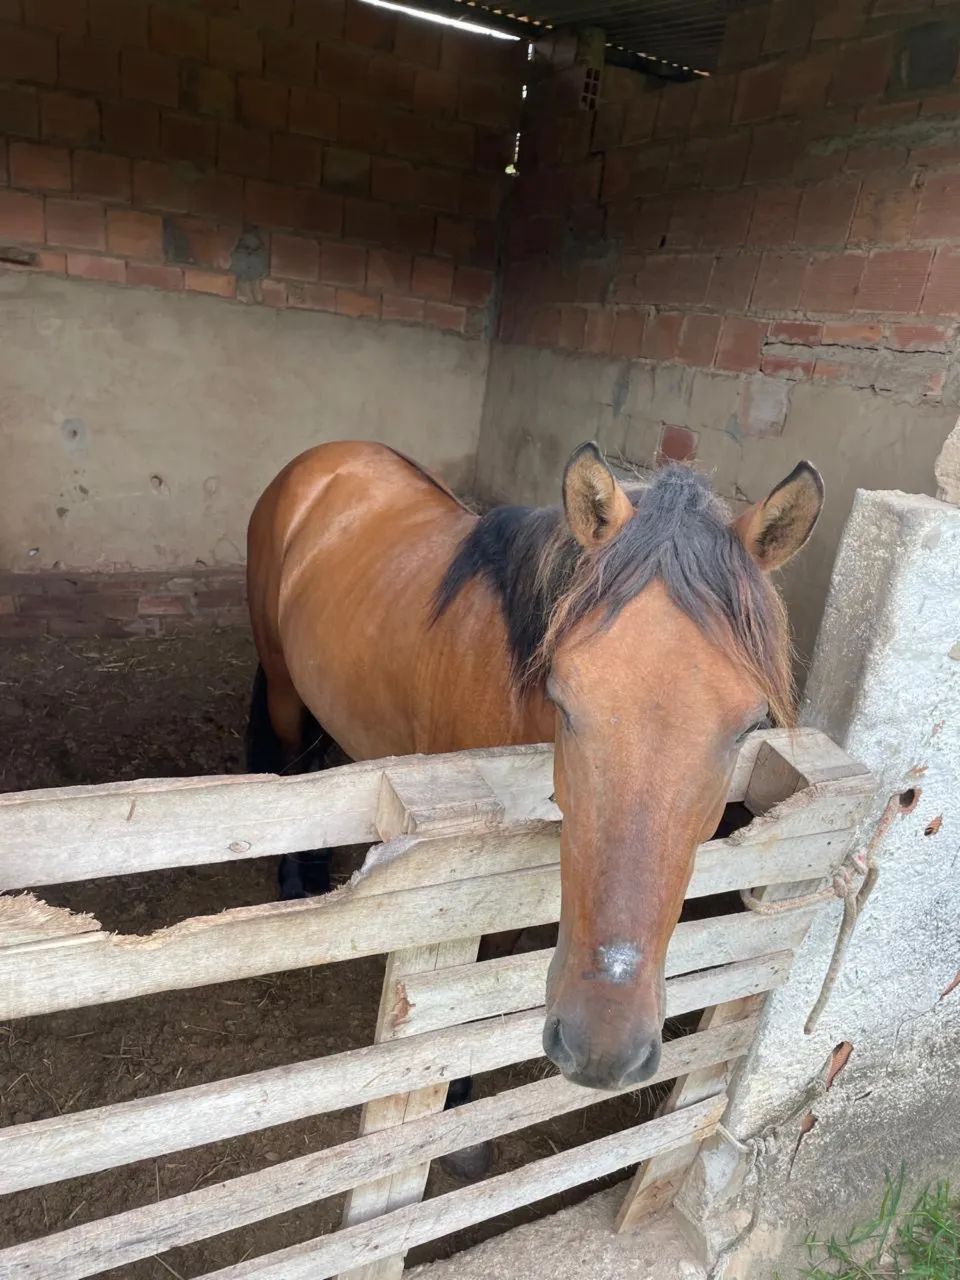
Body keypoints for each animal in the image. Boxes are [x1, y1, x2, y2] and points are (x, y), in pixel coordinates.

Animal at [245, 439, 823, 1170]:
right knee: (294, 771)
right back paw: (299, 880)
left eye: (750, 724)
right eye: (563, 697)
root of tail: (327, 457)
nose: (605, 1044)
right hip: (283, 682)